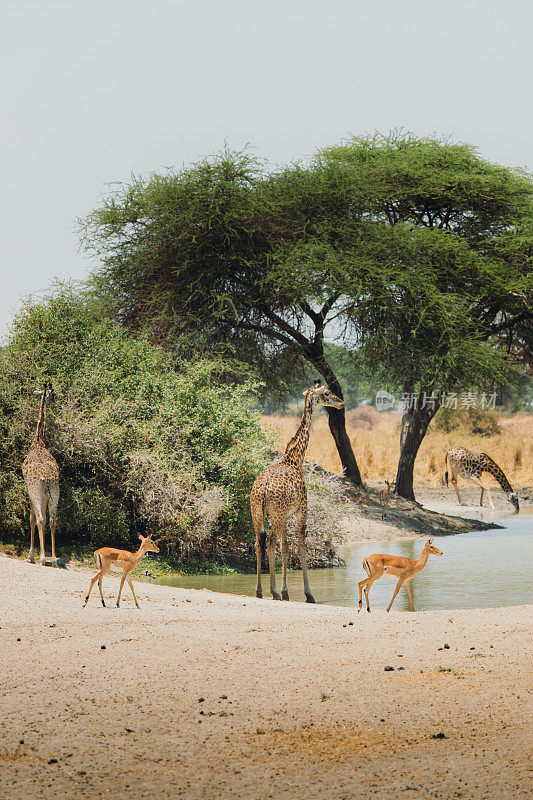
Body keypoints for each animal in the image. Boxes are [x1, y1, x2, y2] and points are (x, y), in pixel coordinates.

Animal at [250, 382, 344, 600]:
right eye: (327, 393)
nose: (341, 403)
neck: (295, 458)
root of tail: (262, 490)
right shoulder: (302, 509)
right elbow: (301, 548)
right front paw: (308, 594)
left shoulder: (285, 515)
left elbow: (285, 549)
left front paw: (286, 592)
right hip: (275, 514)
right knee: (270, 542)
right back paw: (273, 591)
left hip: (257, 512)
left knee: (259, 543)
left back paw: (259, 591)